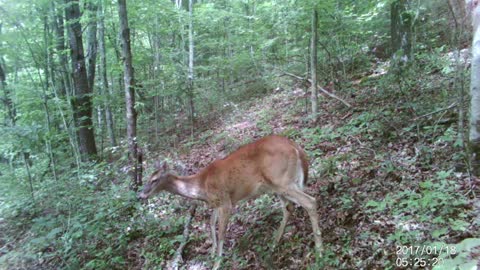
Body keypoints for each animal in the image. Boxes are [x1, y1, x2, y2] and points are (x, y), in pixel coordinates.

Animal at [141, 136, 324, 268]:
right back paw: (273, 244)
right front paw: (212, 252)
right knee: (289, 208)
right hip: (277, 185)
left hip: (281, 180)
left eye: (154, 180)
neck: (201, 186)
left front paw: (217, 263)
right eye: (147, 179)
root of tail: (296, 147)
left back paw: (319, 251)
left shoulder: (226, 202)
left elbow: (221, 232)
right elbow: (210, 222)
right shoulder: (217, 203)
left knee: (310, 201)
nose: (141, 195)